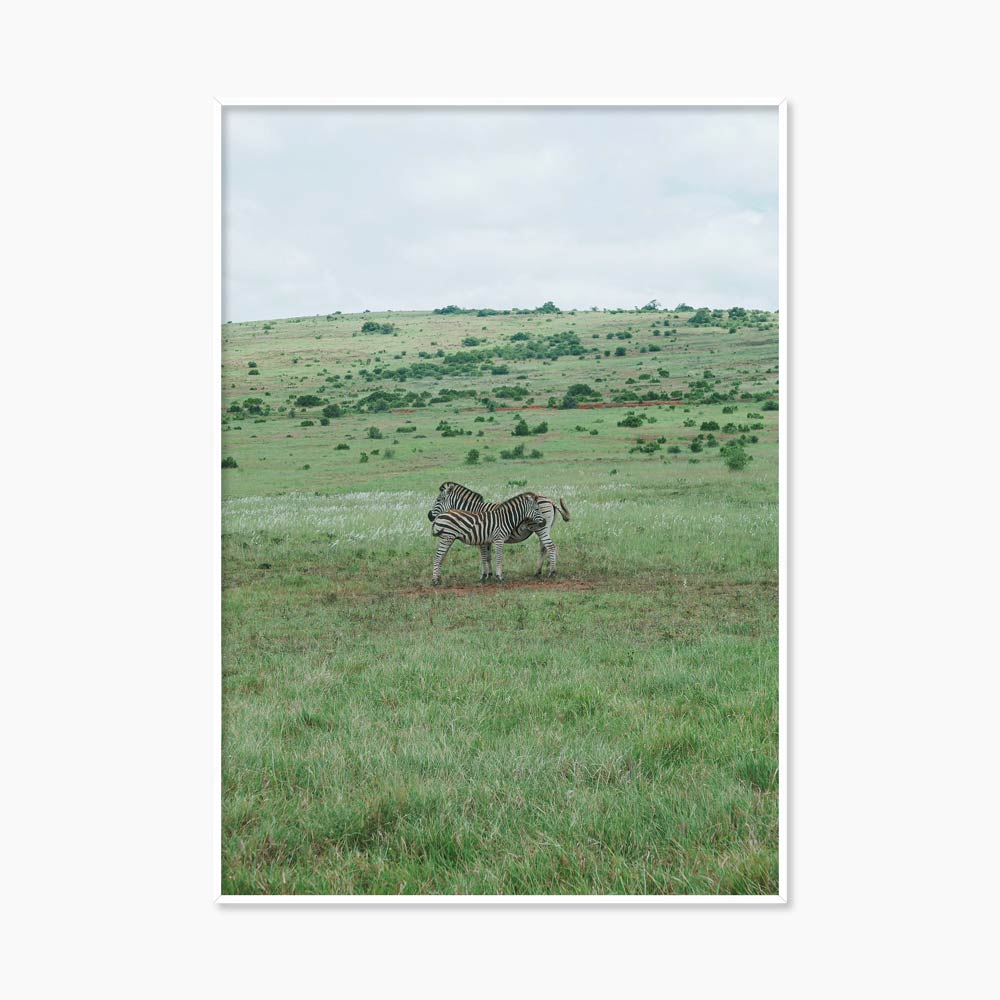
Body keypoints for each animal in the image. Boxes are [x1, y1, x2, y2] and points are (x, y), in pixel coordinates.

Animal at [427, 482, 570, 580]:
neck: (473, 510)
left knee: (550, 547)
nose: (429, 516)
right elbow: (488, 556)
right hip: (543, 528)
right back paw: (538, 572)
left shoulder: (482, 537)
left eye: (438, 500)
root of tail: (549, 499)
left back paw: (551, 572)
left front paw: (484, 575)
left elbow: (484, 556)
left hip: (541, 528)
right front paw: (490, 574)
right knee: (543, 548)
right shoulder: (486, 537)